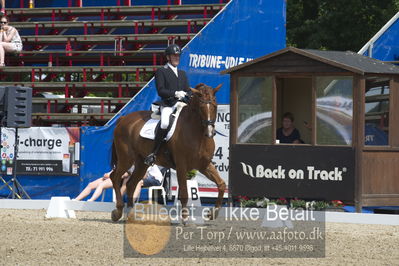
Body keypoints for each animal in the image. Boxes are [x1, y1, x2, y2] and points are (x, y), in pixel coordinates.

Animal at [109, 83, 227, 222]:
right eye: (201, 107)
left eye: (215, 106)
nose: (210, 133)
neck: (198, 135)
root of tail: (123, 118)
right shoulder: (182, 165)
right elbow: (184, 192)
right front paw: (185, 219)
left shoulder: (204, 165)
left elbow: (221, 184)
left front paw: (213, 213)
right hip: (126, 158)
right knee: (115, 177)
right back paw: (118, 212)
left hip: (142, 163)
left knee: (131, 184)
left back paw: (131, 214)